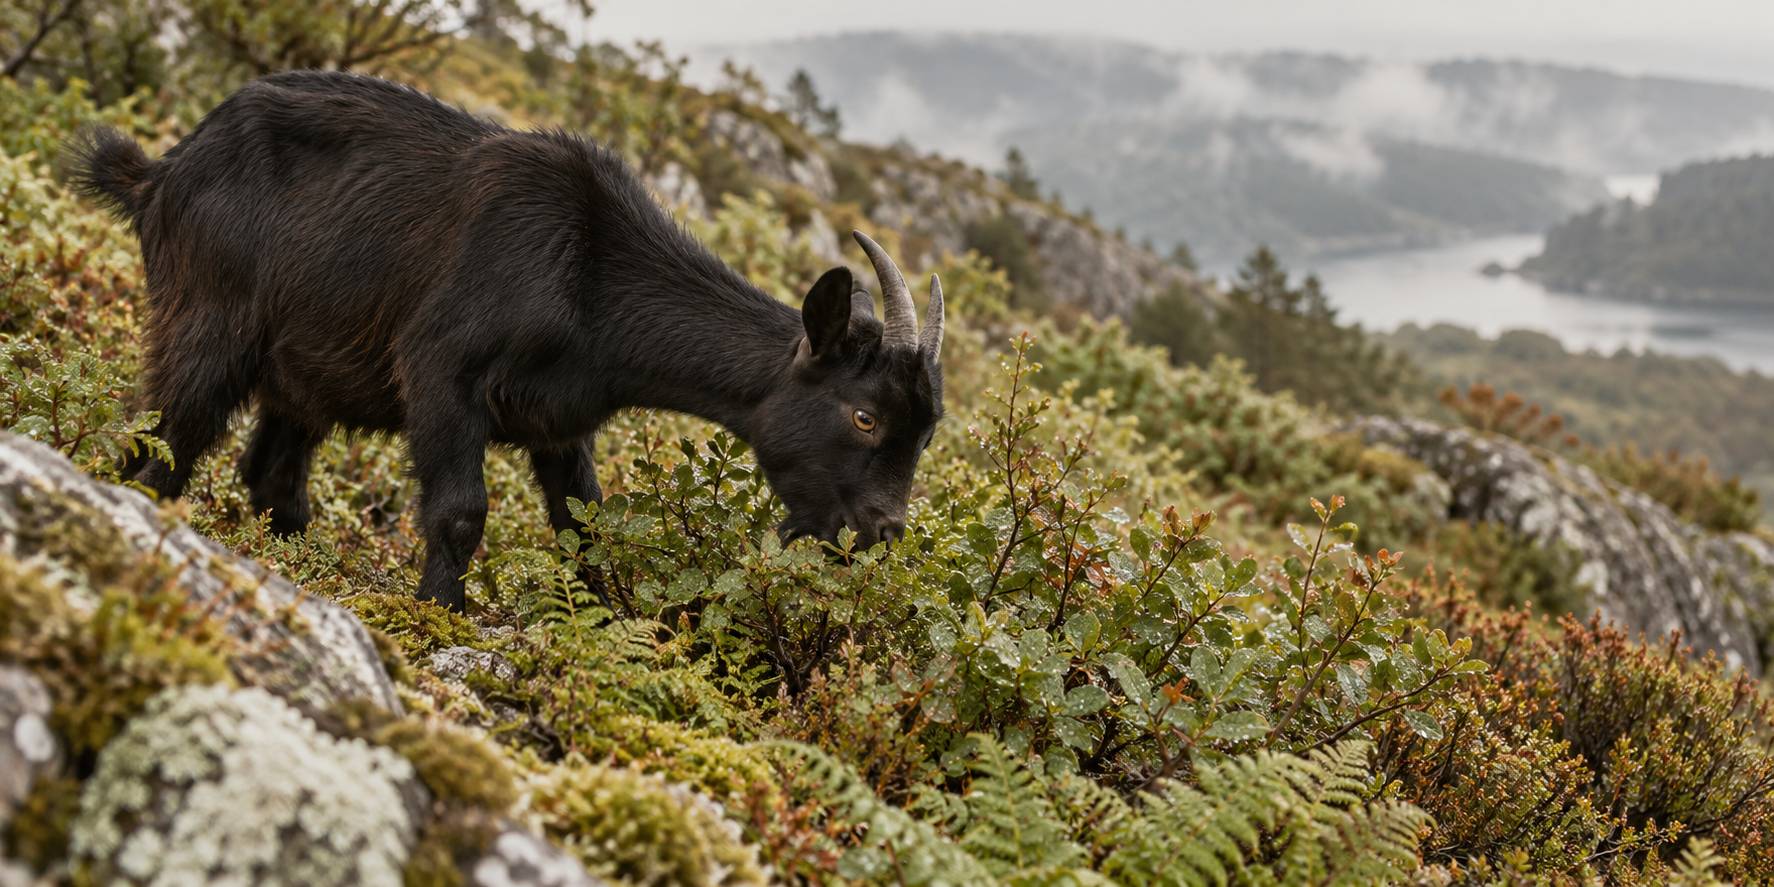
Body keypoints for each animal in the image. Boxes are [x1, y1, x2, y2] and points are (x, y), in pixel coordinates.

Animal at [68, 70, 945, 612]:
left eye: (926, 433)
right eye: (865, 416)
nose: (885, 535)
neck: (592, 271)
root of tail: (160, 174)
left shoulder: (559, 424)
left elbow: (586, 531)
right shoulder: (441, 372)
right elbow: (461, 511)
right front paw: (438, 617)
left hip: (302, 375)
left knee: (274, 477)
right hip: (205, 322)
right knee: (164, 442)